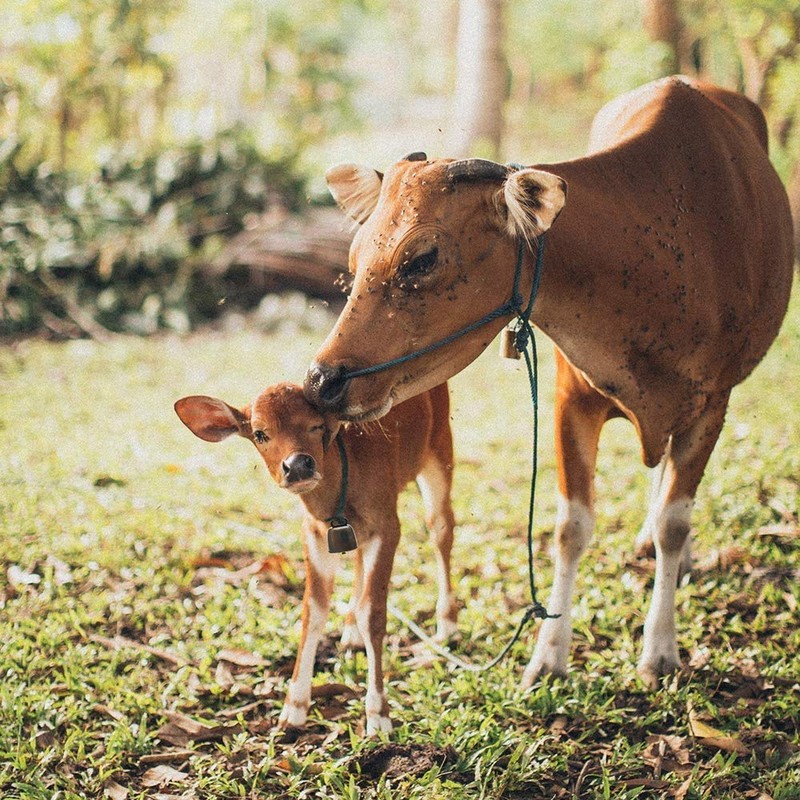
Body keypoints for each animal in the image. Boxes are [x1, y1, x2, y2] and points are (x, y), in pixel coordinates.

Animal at [174, 382, 457, 733]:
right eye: (259, 433)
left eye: (316, 424)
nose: (297, 465)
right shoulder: (315, 531)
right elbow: (313, 610)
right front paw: (294, 706)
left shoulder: (388, 524)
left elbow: (374, 614)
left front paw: (378, 714)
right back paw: (350, 633)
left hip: (440, 448)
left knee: (441, 529)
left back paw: (447, 624)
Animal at [302, 76, 794, 688]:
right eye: (353, 258)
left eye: (421, 259)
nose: (322, 379)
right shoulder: (570, 399)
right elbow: (571, 527)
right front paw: (549, 654)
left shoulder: (712, 404)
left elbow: (675, 524)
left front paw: (659, 649)